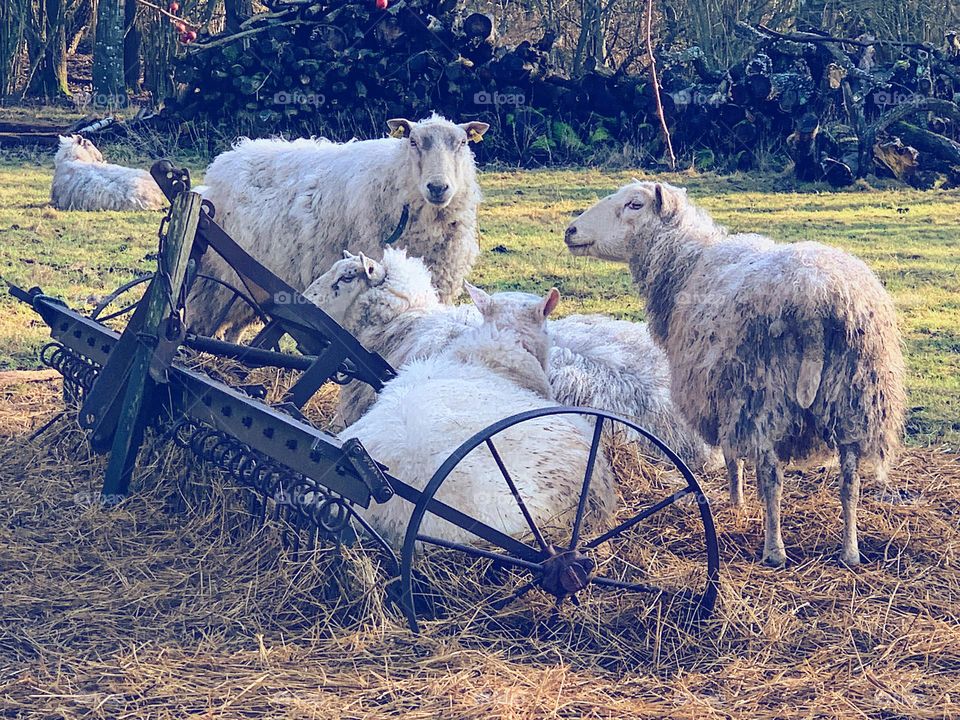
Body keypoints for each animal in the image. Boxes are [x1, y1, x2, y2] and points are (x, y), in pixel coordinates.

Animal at [564, 180, 908, 568]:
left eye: (634, 204)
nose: (570, 231)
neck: (689, 262)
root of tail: (816, 297)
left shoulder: (724, 393)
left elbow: (732, 455)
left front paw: (736, 501)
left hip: (765, 393)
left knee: (772, 476)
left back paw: (774, 549)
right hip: (855, 397)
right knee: (850, 479)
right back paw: (850, 550)